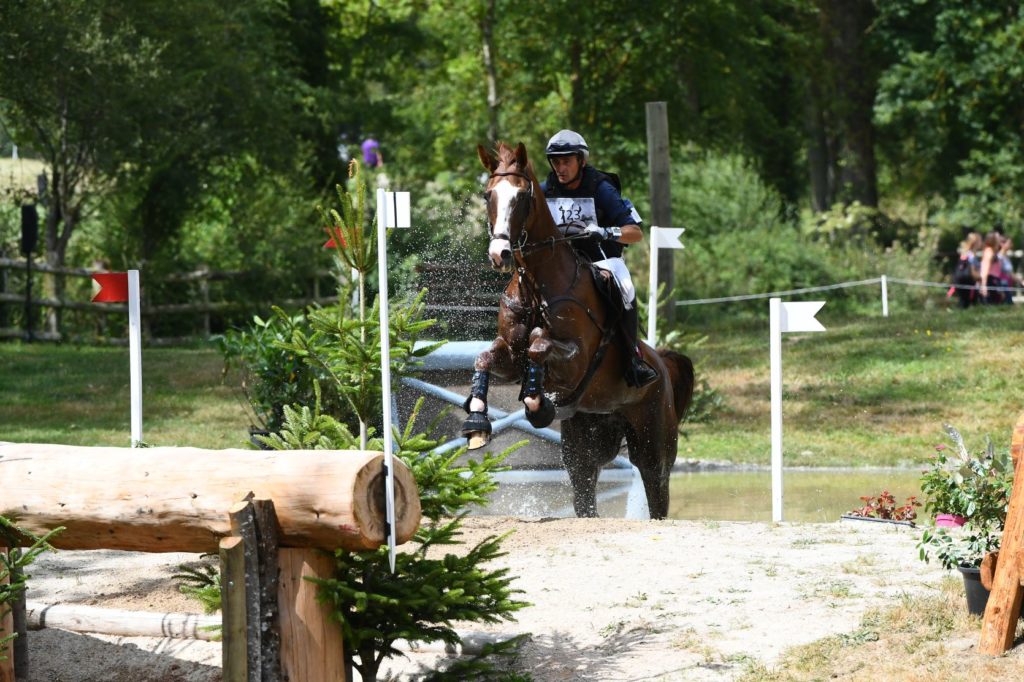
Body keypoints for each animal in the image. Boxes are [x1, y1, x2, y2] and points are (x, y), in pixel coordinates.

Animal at [462, 140, 696, 518]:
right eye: (488, 195)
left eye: (523, 197)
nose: (500, 255)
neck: (537, 287)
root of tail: (661, 362)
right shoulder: (509, 357)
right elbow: (485, 358)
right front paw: (476, 424)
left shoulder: (576, 361)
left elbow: (539, 344)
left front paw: (537, 404)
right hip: (586, 443)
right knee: (585, 489)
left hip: (652, 439)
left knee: (656, 486)